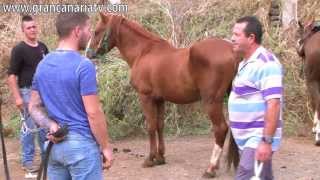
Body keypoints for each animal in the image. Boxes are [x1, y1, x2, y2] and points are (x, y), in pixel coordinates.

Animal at [86, 13, 241, 177]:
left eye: (96, 31)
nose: (88, 53)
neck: (144, 52)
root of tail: (231, 50)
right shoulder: (159, 99)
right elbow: (159, 125)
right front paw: (160, 158)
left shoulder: (145, 97)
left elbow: (150, 126)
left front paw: (150, 159)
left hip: (212, 102)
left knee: (220, 129)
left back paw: (210, 168)